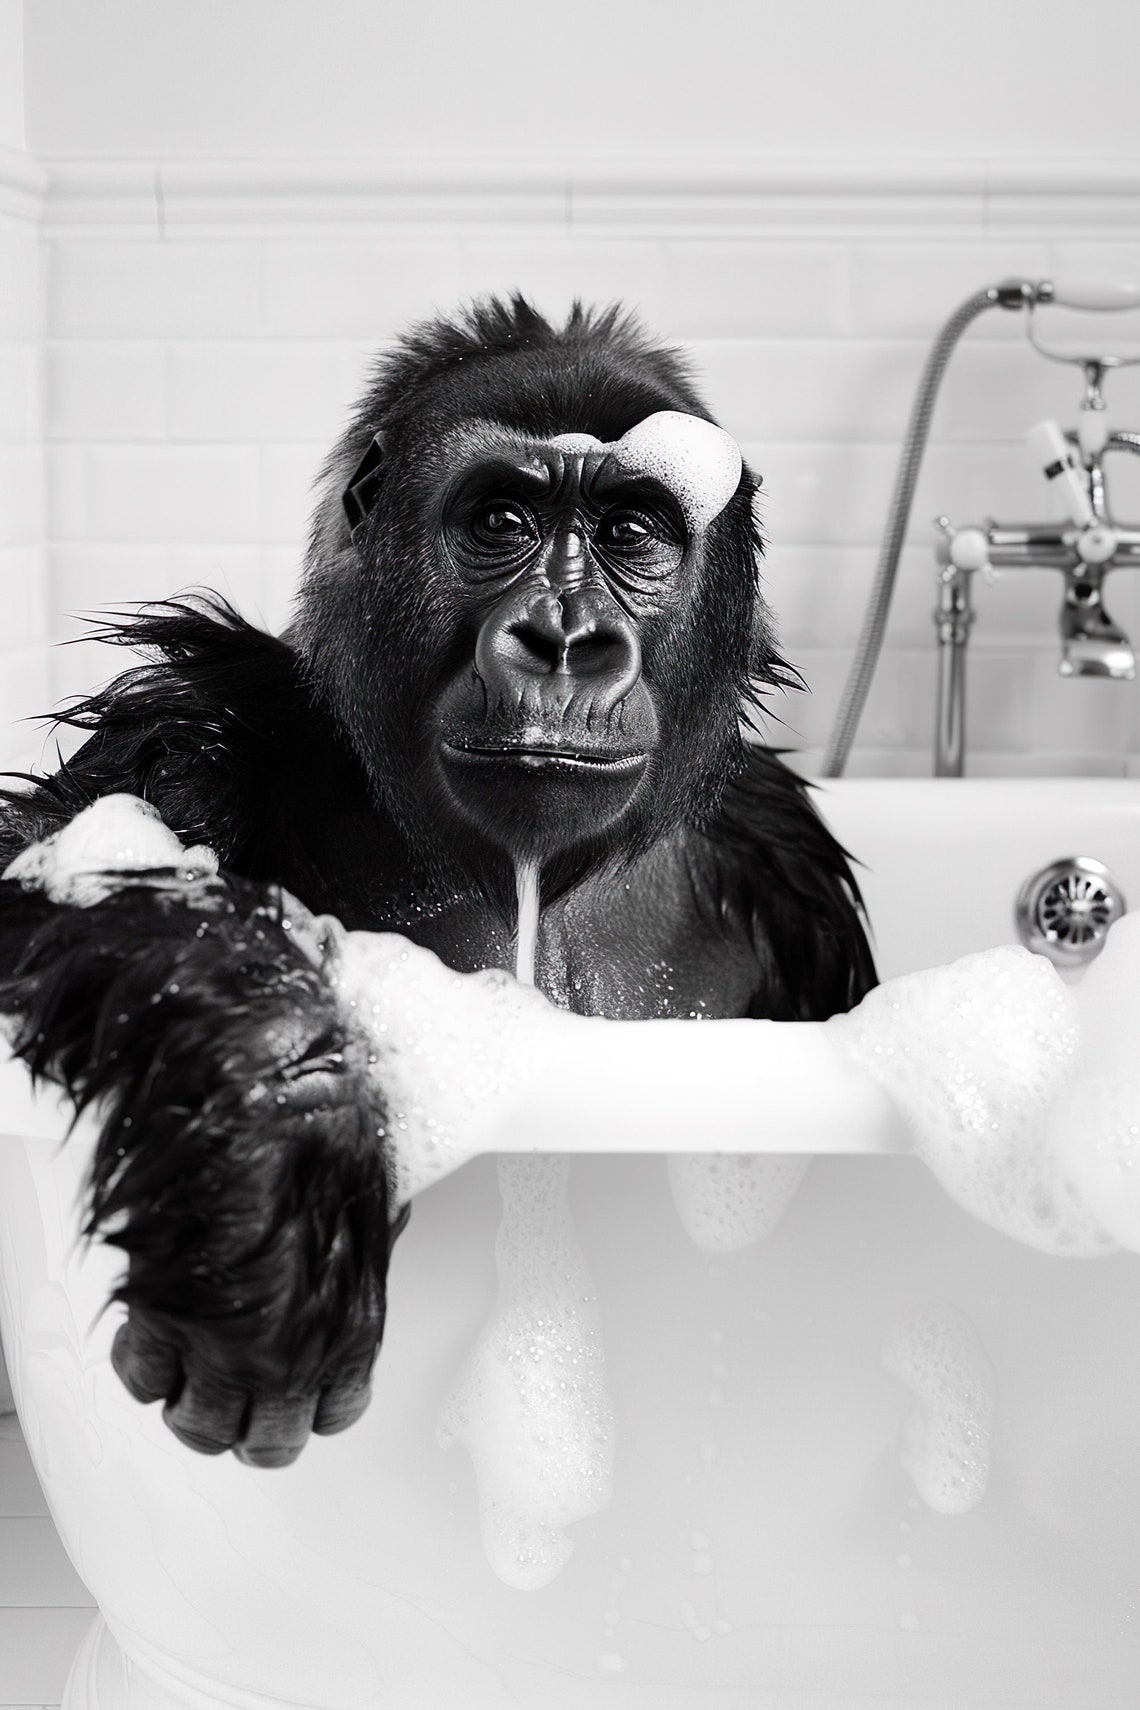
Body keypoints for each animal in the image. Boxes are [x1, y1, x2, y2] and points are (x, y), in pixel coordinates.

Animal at [0, 296, 875, 1468]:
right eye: (502, 519)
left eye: (632, 532)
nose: (564, 639)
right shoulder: (197, 722)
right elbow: (60, 868)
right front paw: (280, 1143)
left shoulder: (788, 867)